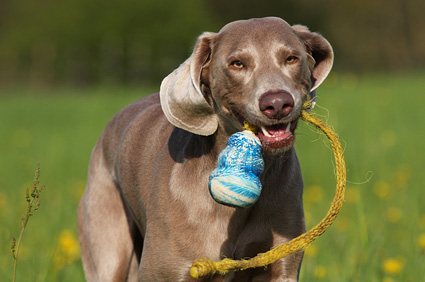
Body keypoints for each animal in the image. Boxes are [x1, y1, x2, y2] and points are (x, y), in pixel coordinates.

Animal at [78, 16, 332, 280]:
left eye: (291, 58)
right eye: (237, 63)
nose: (277, 103)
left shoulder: (281, 266)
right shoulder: (165, 270)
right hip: (107, 244)